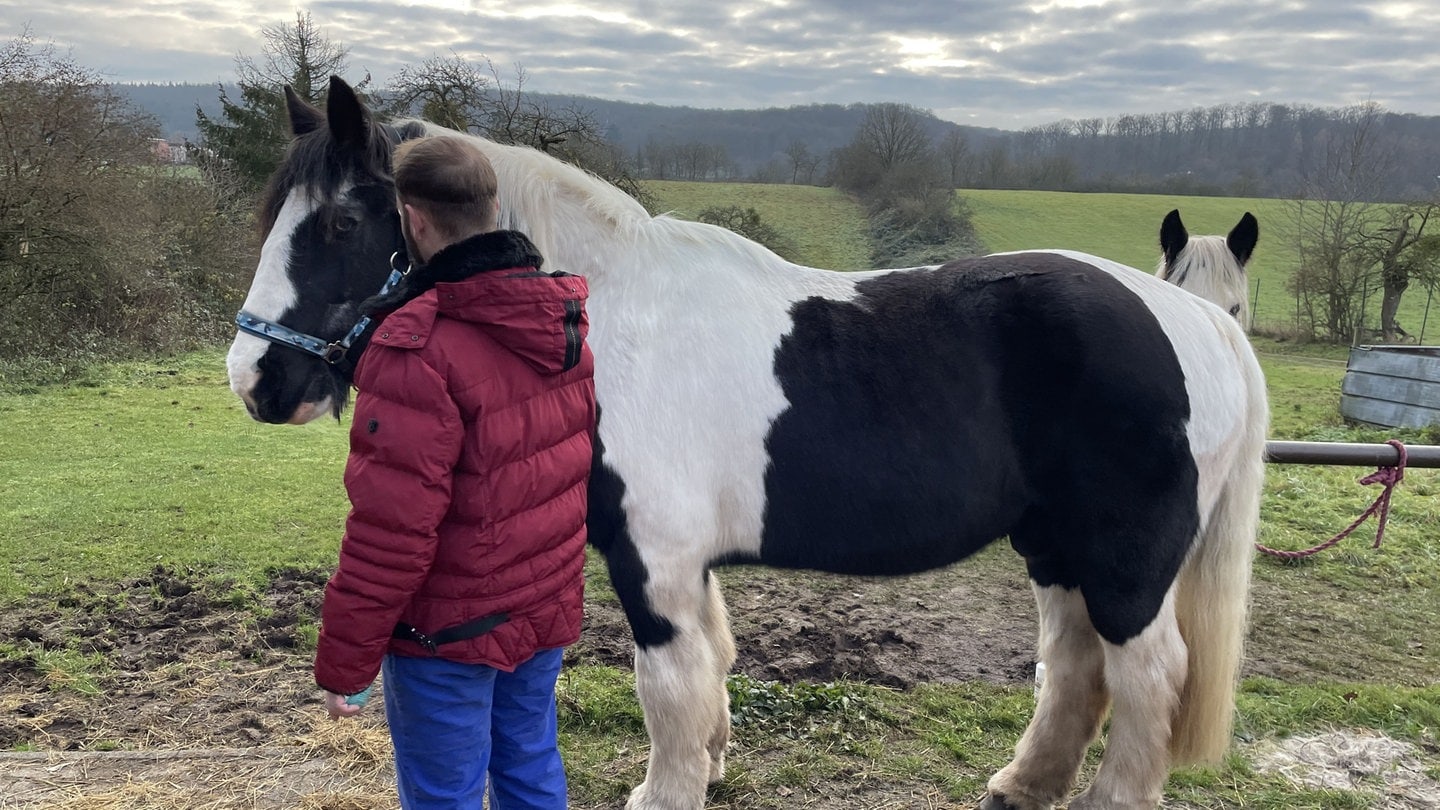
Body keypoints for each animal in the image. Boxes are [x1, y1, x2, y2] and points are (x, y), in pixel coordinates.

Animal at [218, 77, 1267, 807]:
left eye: (341, 222)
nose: (257, 382)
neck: (604, 317)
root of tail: (1196, 322)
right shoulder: (688, 563)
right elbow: (712, 666)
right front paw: (710, 768)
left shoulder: (654, 561)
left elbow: (670, 684)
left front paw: (668, 790)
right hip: (1056, 547)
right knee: (1077, 665)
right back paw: (1024, 784)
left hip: (1127, 563)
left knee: (1147, 677)